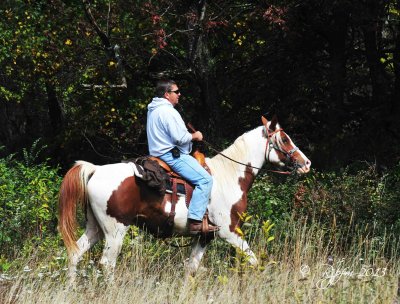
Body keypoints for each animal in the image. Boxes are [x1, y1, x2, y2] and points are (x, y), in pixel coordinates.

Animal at [57, 116, 310, 280]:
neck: (229, 176)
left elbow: (191, 269)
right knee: (107, 264)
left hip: (95, 228)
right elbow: (254, 260)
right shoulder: (230, 232)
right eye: (285, 139)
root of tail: (96, 170)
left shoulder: (205, 236)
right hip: (115, 230)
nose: (306, 163)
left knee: (75, 254)